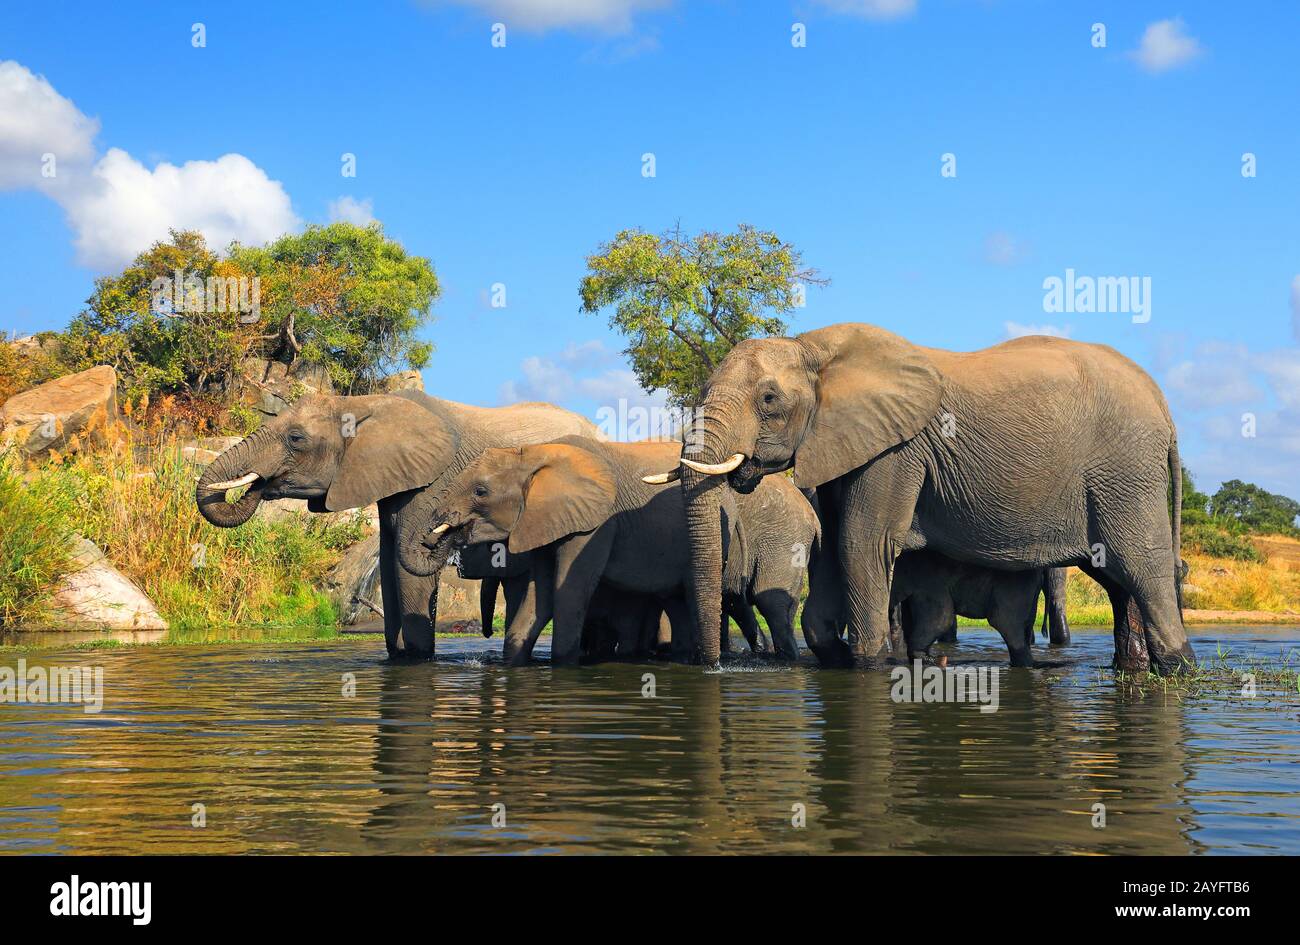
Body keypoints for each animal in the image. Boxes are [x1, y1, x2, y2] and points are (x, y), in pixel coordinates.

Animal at [192, 392, 598, 657]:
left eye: (296, 439)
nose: (258, 485)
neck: (360, 402)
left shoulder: (432, 482)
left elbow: (407, 571)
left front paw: (417, 658)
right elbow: (388, 567)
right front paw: (398, 654)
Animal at [650, 323, 1196, 670]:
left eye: (768, 400)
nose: (714, 667)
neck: (814, 348)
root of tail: (1163, 403)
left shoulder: (898, 449)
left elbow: (860, 544)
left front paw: (869, 664)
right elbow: (832, 551)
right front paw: (836, 655)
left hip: (1123, 469)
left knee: (1140, 563)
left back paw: (1177, 665)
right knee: (1115, 577)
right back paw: (1132, 668)